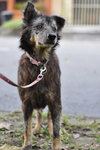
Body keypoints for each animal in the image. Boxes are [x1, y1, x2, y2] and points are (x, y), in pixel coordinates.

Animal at [17, 1, 65, 150]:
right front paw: (27, 145)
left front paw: (56, 145)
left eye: (54, 28)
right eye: (38, 26)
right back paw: (37, 129)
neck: (39, 64)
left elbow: (56, 131)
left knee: (49, 117)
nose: (52, 36)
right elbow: (27, 128)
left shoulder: (55, 101)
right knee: (38, 114)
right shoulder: (26, 103)